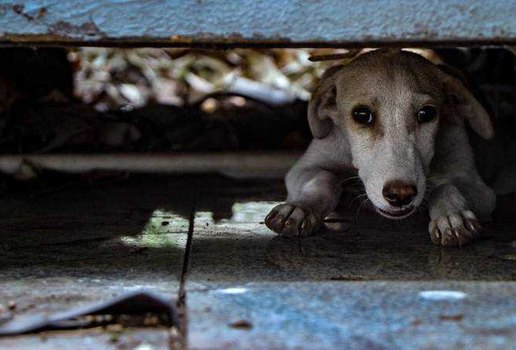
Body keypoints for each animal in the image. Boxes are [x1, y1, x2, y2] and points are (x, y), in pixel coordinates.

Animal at [266, 48, 496, 246]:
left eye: (427, 113)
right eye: (361, 115)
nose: (401, 195)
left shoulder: (480, 188)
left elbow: (445, 187)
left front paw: (451, 217)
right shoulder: (305, 166)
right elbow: (326, 179)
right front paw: (300, 209)